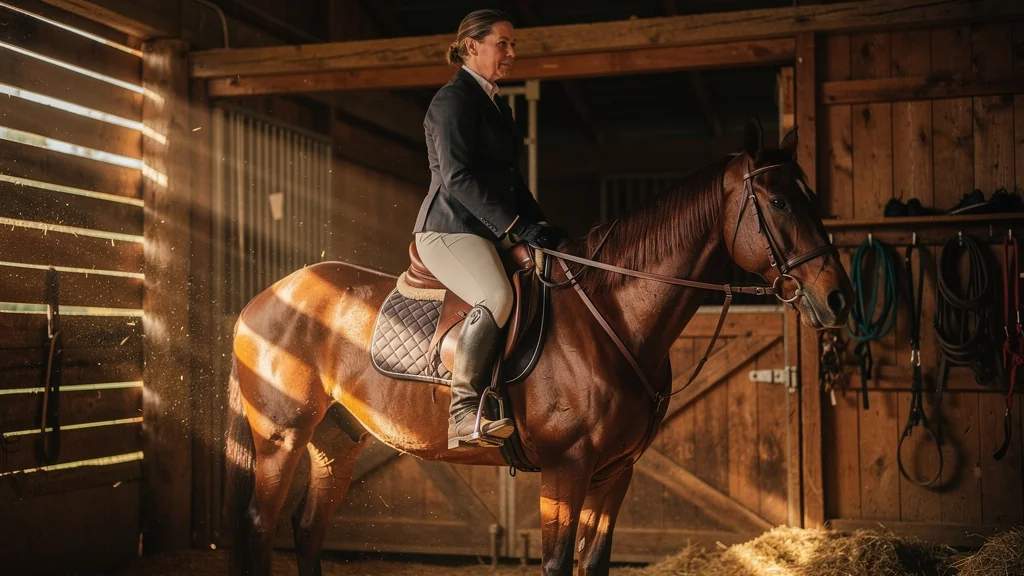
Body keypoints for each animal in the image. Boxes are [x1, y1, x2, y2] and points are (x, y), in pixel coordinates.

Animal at [224, 118, 854, 576]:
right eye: (778, 203)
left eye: (810, 196)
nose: (839, 297)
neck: (612, 317)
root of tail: (266, 297)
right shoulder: (567, 469)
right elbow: (556, 565)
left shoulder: (614, 472)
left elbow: (593, 565)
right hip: (282, 436)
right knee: (259, 524)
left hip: (336, 439)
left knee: (308, 527)